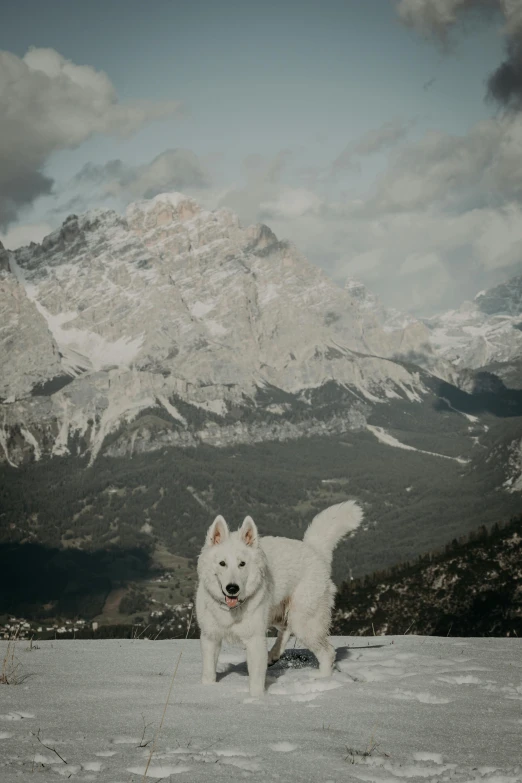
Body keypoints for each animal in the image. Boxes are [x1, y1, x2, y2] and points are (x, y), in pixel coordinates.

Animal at [195, 502, 362, 700]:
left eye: (242, 564)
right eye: (222, 563)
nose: (232, 588)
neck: (232, 610)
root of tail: (314, 549)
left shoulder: (255, 640)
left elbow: (256, 680)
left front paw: (257, 700)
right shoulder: (210, 638)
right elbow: (208, 673)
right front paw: (208, 691)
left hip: (304, 622)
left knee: (327, 652)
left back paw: (322, 680)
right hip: (278, 613)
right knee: (286, 629)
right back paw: (273, 655)